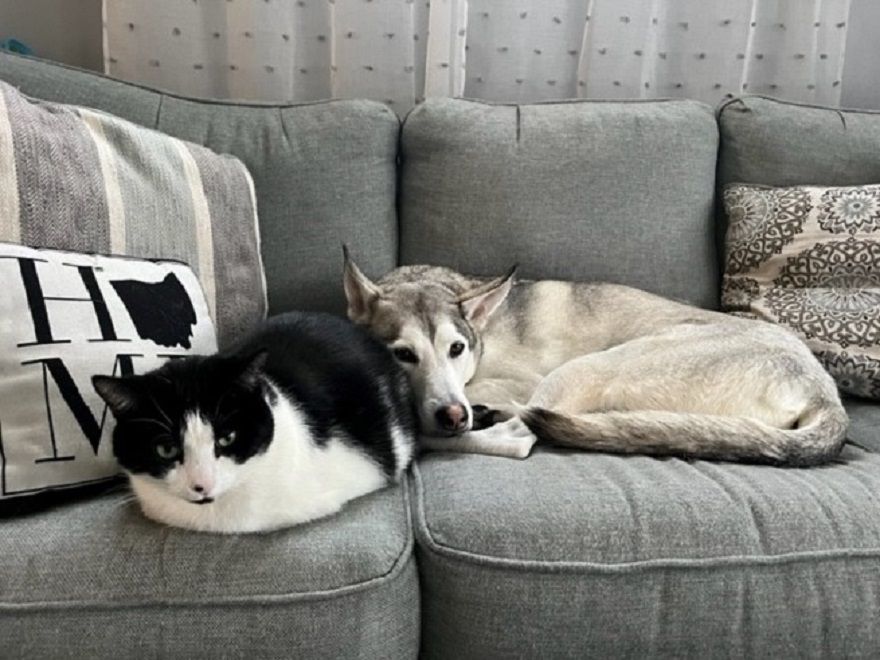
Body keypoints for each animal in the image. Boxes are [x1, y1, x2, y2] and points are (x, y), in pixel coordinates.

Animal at [342, 250, 844, 466]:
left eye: (456, 348)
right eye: (403, 354)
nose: (454, 415)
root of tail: (823, 389)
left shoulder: (517, 382)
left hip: (595, 365)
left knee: (520, 436)